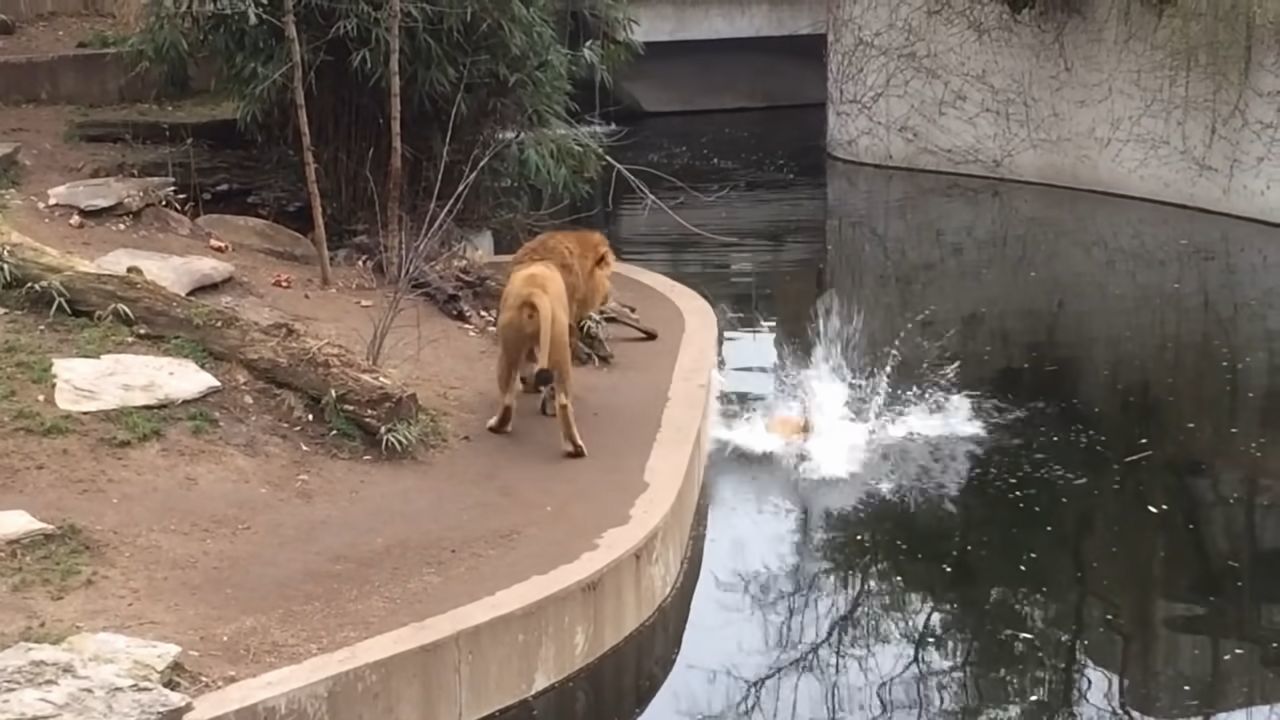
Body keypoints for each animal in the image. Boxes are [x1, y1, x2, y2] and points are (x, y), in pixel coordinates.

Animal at [486, 260, 591, 456]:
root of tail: (535, 292)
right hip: (559, 345)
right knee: (563, 401)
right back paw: (575, 447)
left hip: (507, 351)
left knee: (507, 397)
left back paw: (498, 426)